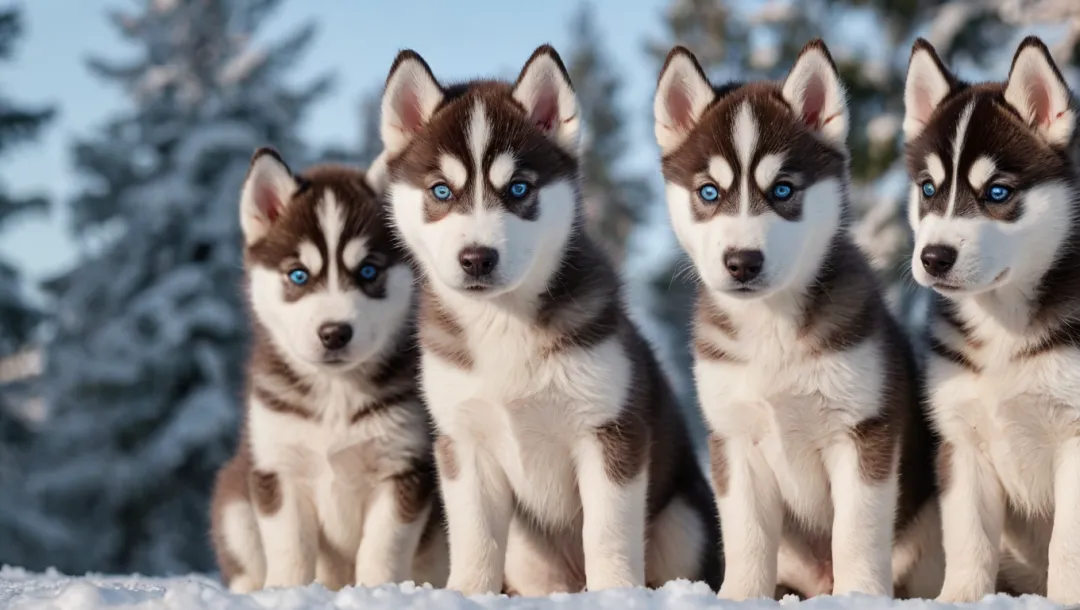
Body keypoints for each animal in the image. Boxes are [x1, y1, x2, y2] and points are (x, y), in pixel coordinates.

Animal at [210, 147, 447, 591]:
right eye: (298, 274)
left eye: (368, 271)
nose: (334, 332)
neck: (336, 393)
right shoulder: (278, 471)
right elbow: (290, 550)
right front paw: (285, 593)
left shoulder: (404, 469)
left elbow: (381, 550)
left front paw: (378, 592)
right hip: (234, 503)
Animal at [375, 46, 721, 595]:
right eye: (441, 191)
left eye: (519, 188)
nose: (477, 258)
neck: (504, 323)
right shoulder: (465, 444)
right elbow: (475, 538)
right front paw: (467, 594)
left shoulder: (610, 432)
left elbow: (606, 532)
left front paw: (615, 594)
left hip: (682, 521)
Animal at [907, 35, 1080, 600]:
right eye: (928, 189)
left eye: (997, 192)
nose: (934, 258)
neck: (1002, 327)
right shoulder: (962, 443)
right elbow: (968, 539)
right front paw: (959, 599)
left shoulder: (1075, 439)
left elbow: (1066, 544)